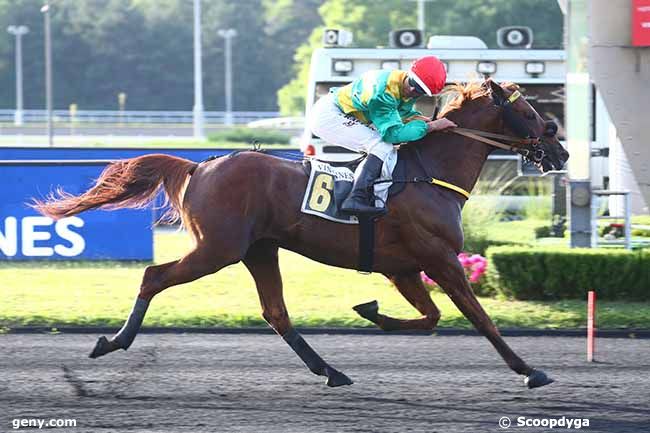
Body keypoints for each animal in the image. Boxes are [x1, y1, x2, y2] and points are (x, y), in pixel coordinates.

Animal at [33, 80, 564, 388]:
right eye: (529, 111)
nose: (560, 149)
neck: (428, 174)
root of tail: (200, 165)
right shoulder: (439, 260)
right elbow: (480, 318)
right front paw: (529, 370)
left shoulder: (405, 268)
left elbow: (430, 318)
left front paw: (371, 312)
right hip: (219, 249)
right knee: (153, 276)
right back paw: (112, 343)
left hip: (259, 250)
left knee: (276, 313)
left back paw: (331, 371)